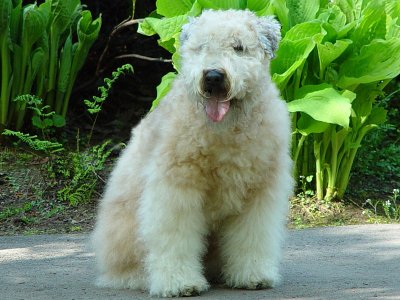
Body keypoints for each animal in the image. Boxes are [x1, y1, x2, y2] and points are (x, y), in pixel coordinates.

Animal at [94, 9, 294, 298]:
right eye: (201, 47)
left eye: (238, 47)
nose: (213, 76)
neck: (226, 130)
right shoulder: (177, 189)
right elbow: (175, 237)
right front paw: (180, 282)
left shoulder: (259, 192)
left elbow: (252, 237)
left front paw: (253, 275)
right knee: (128, 266)